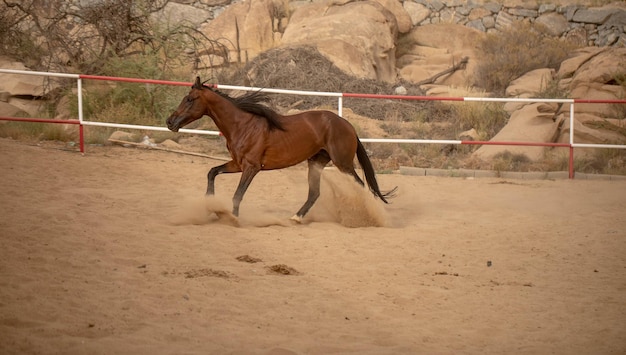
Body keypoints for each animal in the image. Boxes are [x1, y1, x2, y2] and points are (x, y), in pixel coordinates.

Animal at [166, 77, 394, 222]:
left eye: (189, 99)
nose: (170, 122)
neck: (242, 125)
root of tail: (348, 126)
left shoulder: (252, 167)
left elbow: (237, 195)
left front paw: (232, 218)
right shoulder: (237, 164)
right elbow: (212, 172)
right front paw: (210, 206)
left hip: (343, 163)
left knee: (361, 186)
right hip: (316, 162)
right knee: (314, 193)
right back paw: (296, 218)